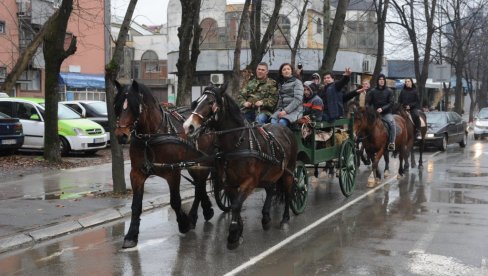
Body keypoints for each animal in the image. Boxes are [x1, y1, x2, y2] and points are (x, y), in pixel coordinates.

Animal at [114, 79, 215, 248]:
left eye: (135, 108)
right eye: (117, 106)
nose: (121, 136)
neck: (150, 138)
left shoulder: (172, 173)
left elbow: (175, 201)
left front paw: (183, 223)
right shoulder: (137, 173)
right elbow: (136, 205)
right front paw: (131, 235)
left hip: (204, 162)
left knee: (200, 186)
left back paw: (194, 216)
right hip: (194, 163)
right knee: (199, 186)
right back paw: (205, 210)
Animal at [183, 82, 298, 250]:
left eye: (211, 102)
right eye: (196, 102)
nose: (188, 126)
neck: (237, 143)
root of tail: (285, 129)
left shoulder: (249, 182)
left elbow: (237, 205)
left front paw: (232, 235)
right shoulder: (229, 183)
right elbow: (234, 204)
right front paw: (239, 231)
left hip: (288, 172)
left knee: (288, 193)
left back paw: (284, 219)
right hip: (269, 174)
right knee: (270, 189)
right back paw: (266, 217)